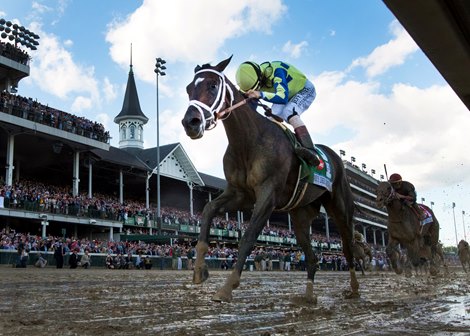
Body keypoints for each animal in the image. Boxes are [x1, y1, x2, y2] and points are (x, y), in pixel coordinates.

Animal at [182, 56, 358, 304]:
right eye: (189, 88)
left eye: (213, 85)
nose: (191, 122)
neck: (248, 142)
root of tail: (335, 158)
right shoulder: (240, 194)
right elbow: (207, 211)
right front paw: (199, 271)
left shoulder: (267, 194)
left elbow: (247, 237)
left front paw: (227, 287)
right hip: (301, 216)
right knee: (312, 258)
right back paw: (308, 296)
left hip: (340, 210)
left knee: (348, 248)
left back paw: (354, 289)